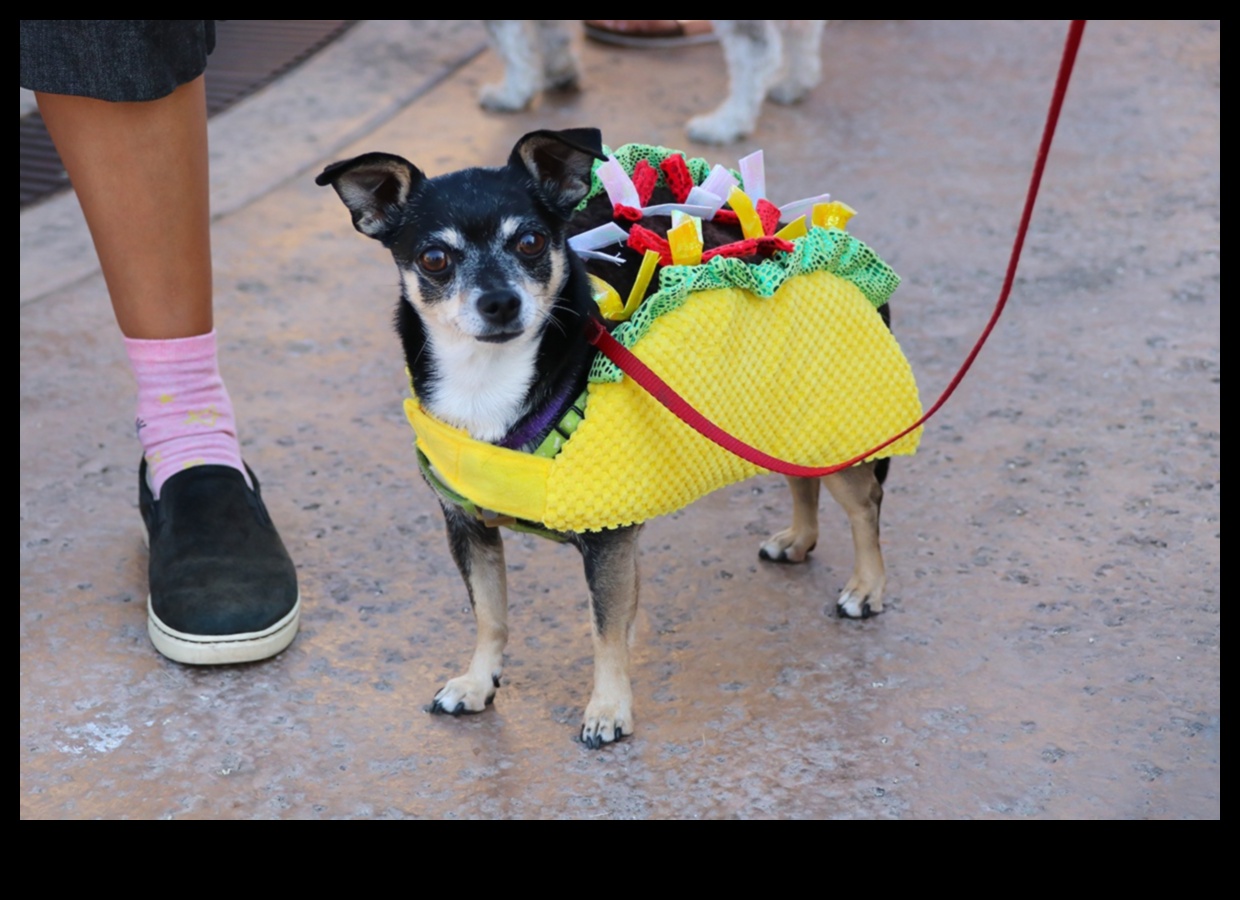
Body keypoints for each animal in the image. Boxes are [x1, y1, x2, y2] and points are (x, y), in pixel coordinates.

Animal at [314, 125, 887, 748]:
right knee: (800, 479)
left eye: (532, 242)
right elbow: (490, 616)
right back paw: (799, 539)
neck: (486, 383)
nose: (500, 301)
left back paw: (867, 587)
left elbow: (605, 632)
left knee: (864, 505)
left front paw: (608, 710)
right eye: (434, 258)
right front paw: (477, 681)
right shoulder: (468, 528)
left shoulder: (609, 542)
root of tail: (773, 225)